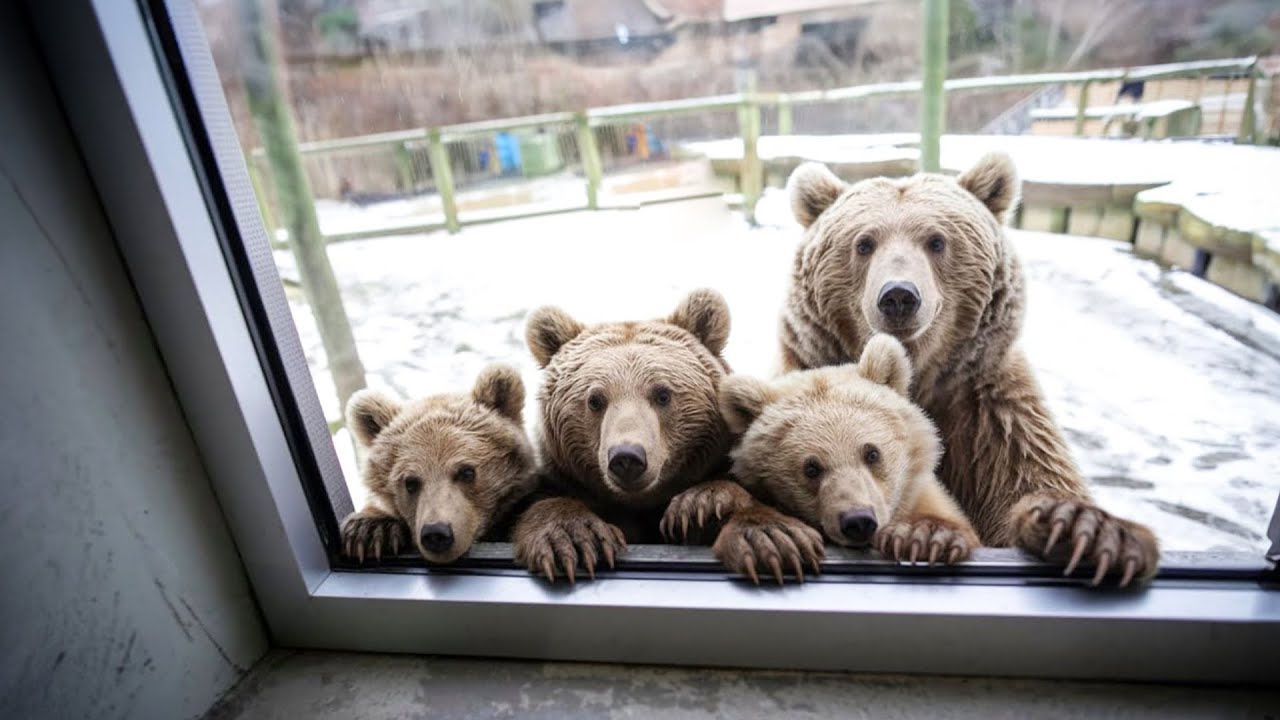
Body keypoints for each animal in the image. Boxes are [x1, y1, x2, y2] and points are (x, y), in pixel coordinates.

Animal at [514, 289, 771, 582]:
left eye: (662, 394)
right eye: (595, 400)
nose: (627, 457)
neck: (641, 505)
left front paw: (704, 505)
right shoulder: (561, 480)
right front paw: (575, 538)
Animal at [772, 151, 1159, 586]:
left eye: (936, 240)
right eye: (864, 243)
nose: (899, 296)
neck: (917, 373)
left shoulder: (990, 417)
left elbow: (1026, 480)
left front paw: (1083, 529)